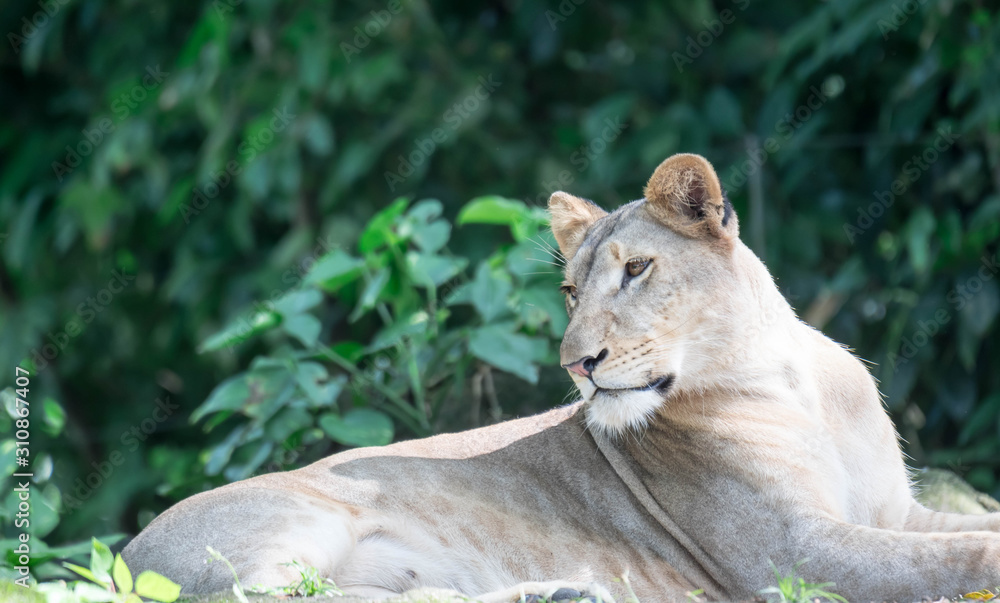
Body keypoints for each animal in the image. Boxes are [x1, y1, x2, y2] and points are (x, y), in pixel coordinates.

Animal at [122, 153, 1000, 602]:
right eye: (573, 291)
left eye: (637, 269)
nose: (576, 364)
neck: (786, 378)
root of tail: (127, 550)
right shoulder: (789, 553)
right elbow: (958, 559)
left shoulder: (897, 510)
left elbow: (967, 531)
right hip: (295, 523)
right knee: (268, 598)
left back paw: (560, 593)